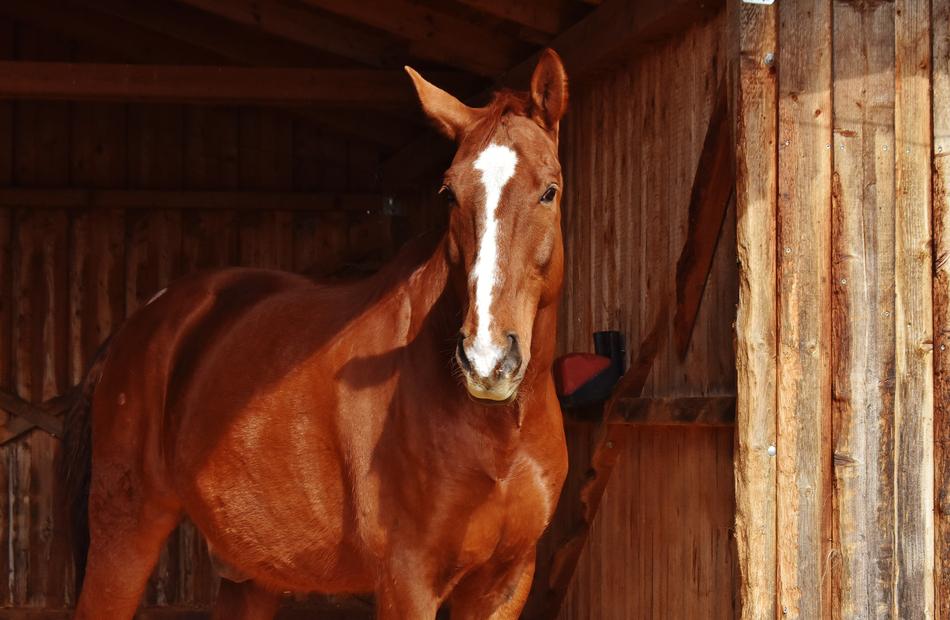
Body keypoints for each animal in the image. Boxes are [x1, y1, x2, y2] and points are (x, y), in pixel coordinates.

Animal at [62, 48, 570, 619]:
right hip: (124, 537)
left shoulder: (504, 583)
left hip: (249, 574)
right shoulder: (408, 580)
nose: (485, 359)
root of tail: (138, 324)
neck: (497, 434)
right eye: (449, 193)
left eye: (549, 191)